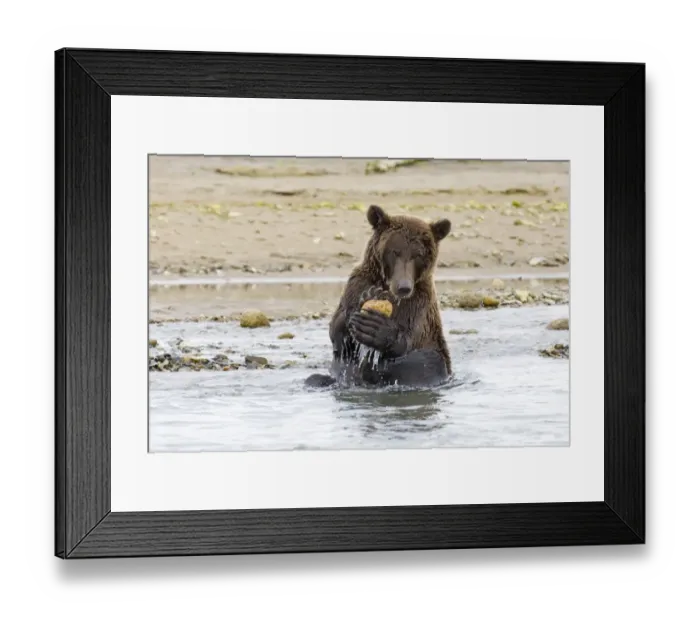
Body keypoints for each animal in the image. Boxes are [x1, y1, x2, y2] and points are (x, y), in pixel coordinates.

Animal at [305, 204, 452, 389]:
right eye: (395, 251)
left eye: (418, 254)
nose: (404, 287)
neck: (387, 287)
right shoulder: (358, 283)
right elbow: (337, 335)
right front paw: (362, 304)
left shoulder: (419, 302)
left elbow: (408, 338)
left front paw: (375, 328)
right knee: (315, 378)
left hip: (432, 357)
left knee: (423, 363)